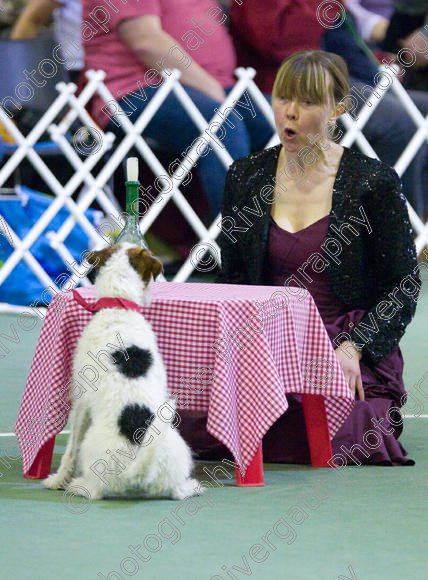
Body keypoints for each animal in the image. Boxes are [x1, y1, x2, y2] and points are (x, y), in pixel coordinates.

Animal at [44, 242, 201, 500]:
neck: (119, 307)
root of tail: (137, 476)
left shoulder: (80, 403)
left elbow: (70, 450)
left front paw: (57, 479)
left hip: (92, 448)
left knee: (95, 490)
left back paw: (77, 485)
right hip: (176, 448)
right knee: (177, 491)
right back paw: (192, 486)